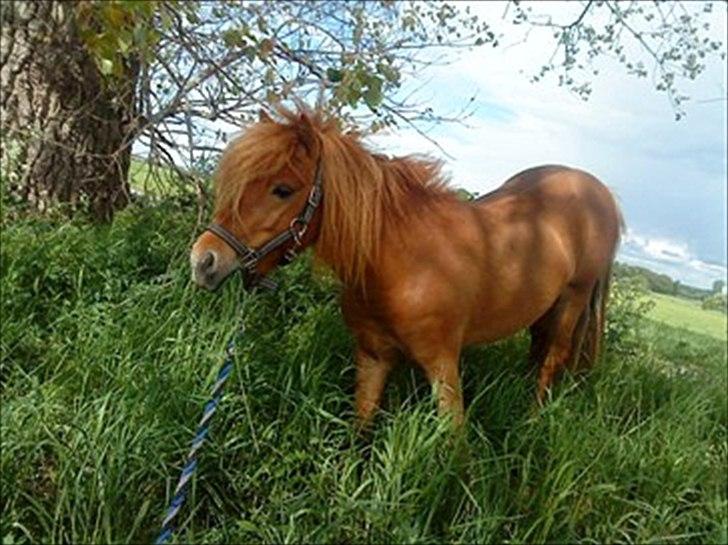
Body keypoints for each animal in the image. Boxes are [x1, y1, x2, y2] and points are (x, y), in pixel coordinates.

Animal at [191, 106, 624, 428]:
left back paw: (533, 419)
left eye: (282, 189)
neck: (402, 265)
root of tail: (599, 192)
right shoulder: (372, 357)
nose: (203, 260)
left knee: (552, 359)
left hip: (573, 300)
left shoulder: (443, 366)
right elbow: (360, 431)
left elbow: (455, 447)